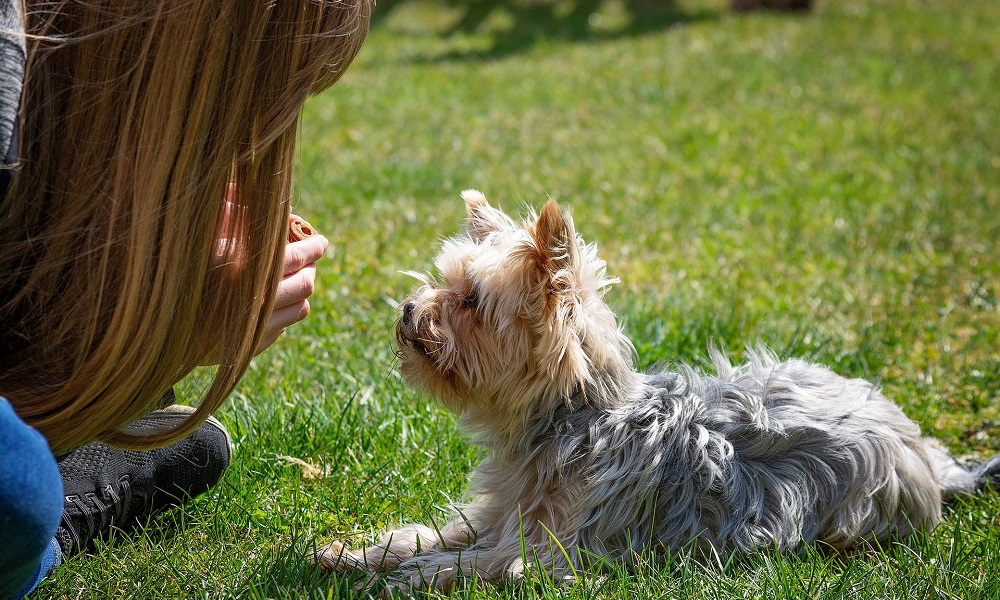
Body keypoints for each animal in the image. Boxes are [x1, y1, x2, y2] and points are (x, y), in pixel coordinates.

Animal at [320, 191, 1000, 592]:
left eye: (471, 302)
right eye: (443, 282)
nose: (409, 310)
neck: (570, 420)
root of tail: (924, 452)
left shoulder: (556, 553)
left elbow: (478, 563)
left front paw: (401, 577)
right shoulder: (498, 512)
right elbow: (441, 534)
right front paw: (357, 553)